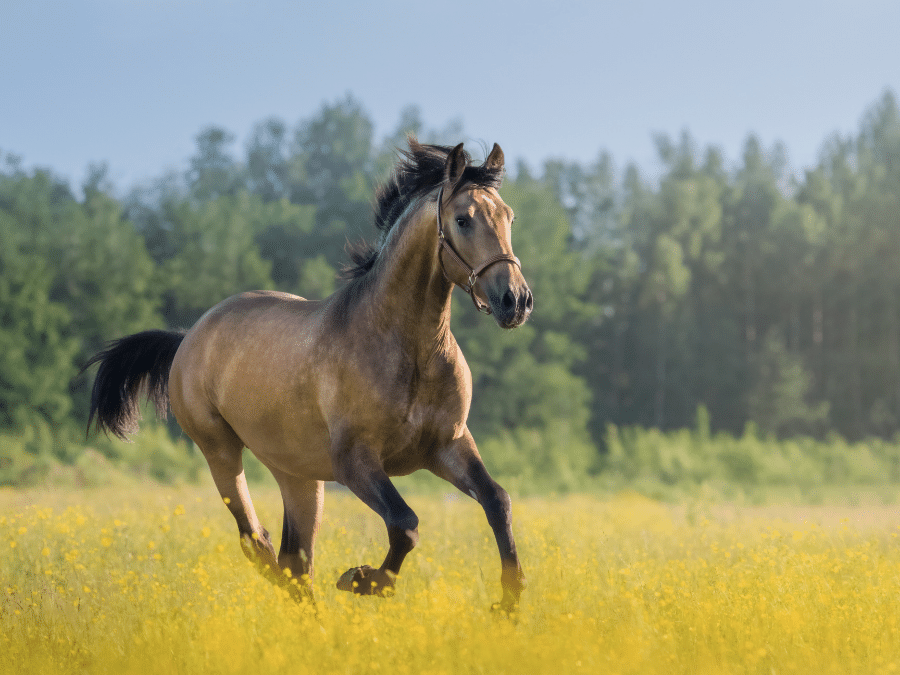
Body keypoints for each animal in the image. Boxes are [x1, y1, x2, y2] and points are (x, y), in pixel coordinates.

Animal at [82, 140, 536, 616]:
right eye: (463, 219)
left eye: (508, 216)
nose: (516, 301)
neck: (411, 349)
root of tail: (188, 337)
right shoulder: (355, 461)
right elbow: (405, 524)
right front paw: (362, 580)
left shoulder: (449, 445)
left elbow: (498, 501)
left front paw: (509, 600)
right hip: (221, 451)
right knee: (258, 543)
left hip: (298, 476)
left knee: (294, 561)